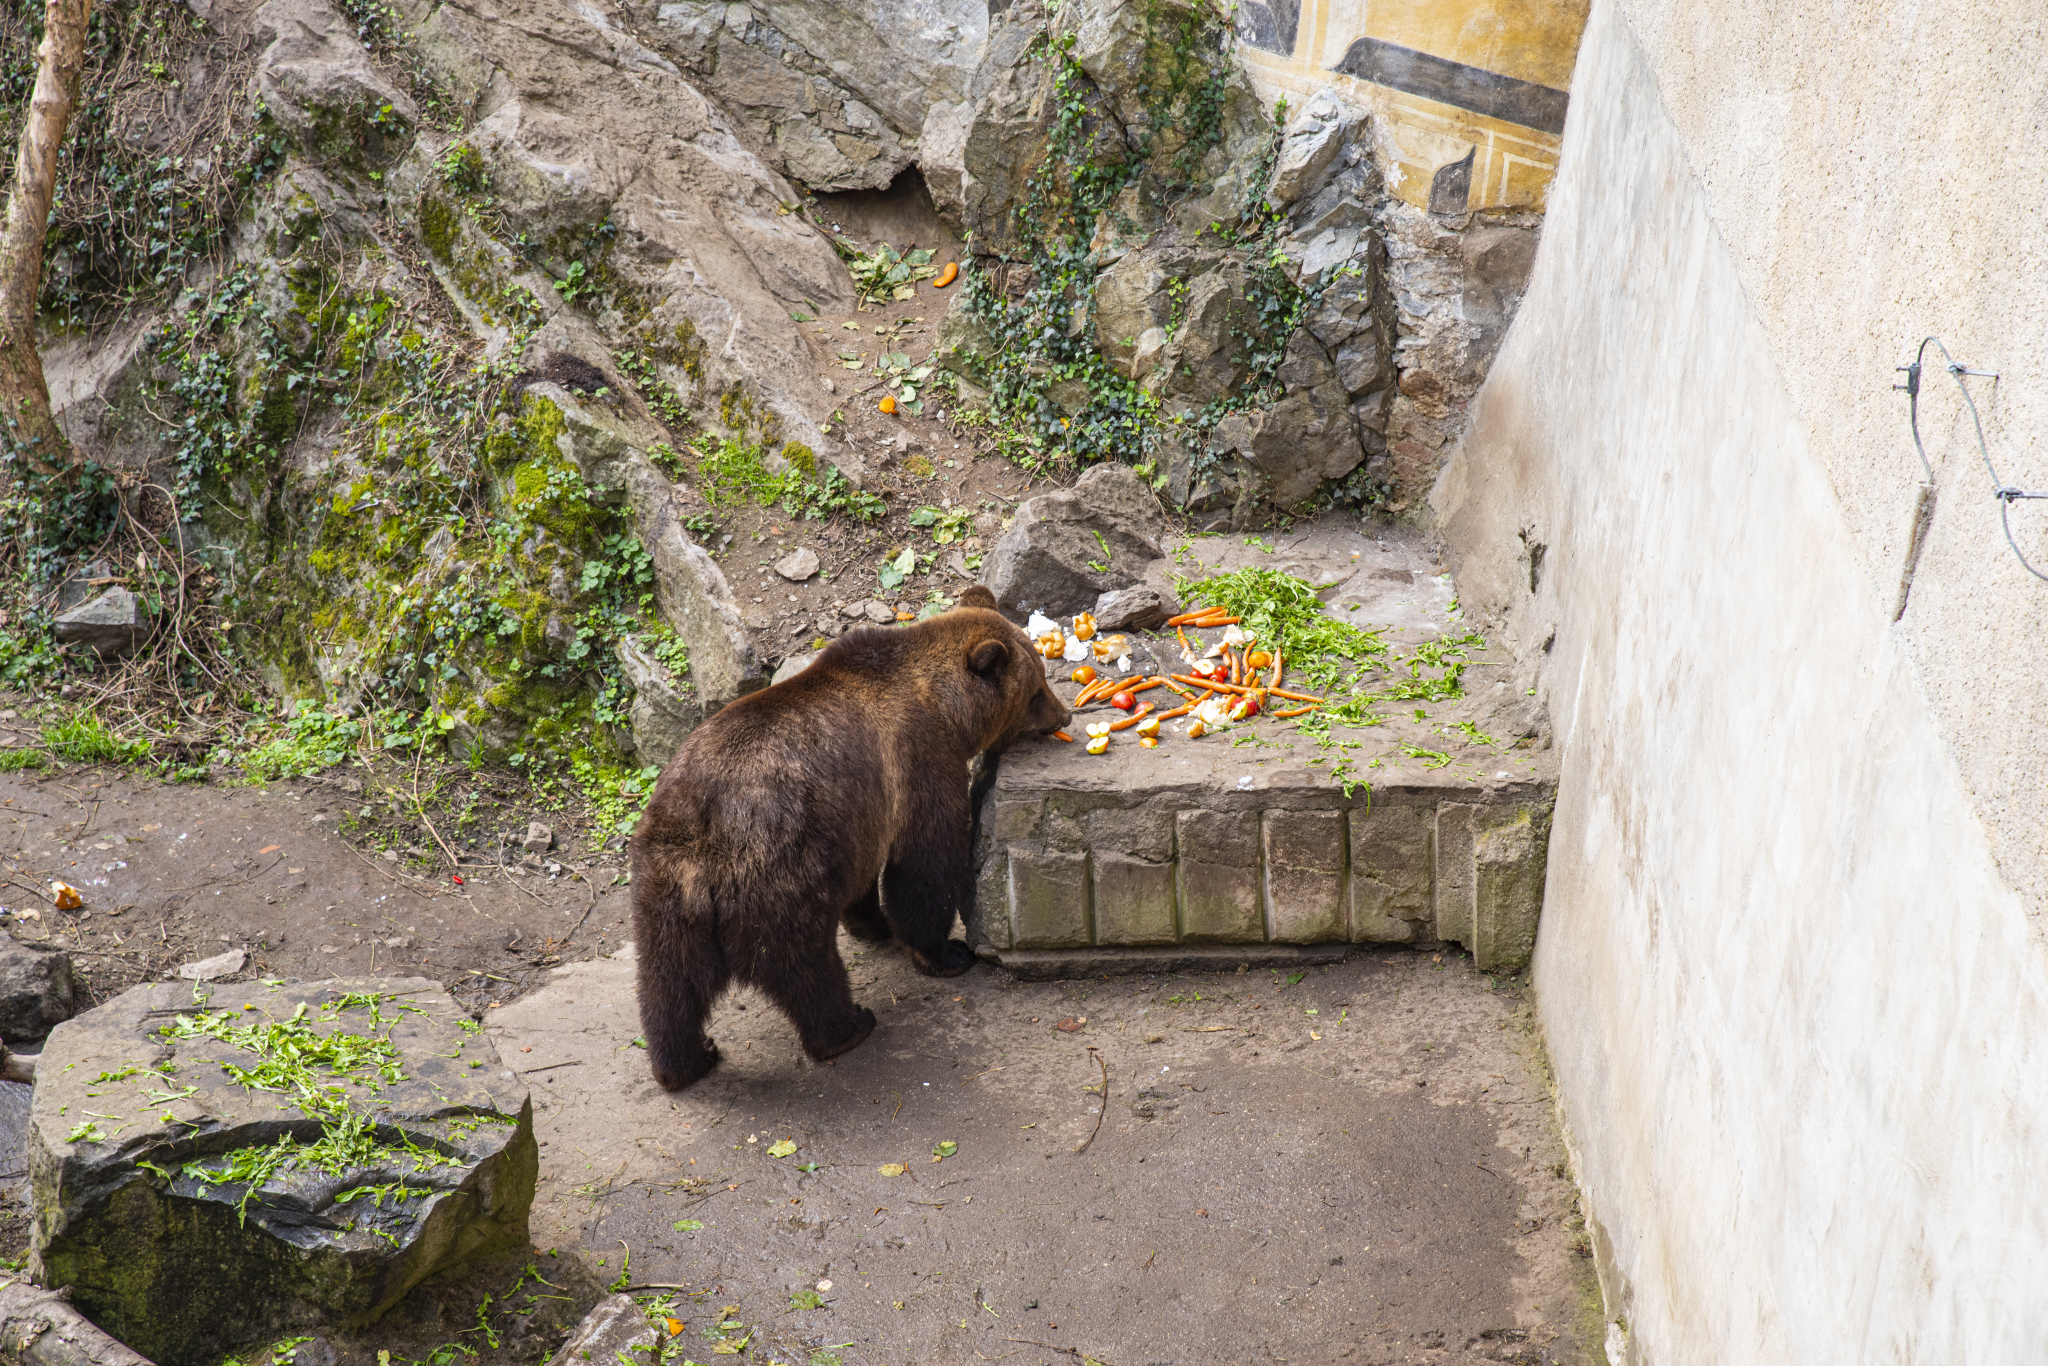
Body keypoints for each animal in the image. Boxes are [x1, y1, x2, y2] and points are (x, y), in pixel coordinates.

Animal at [622, 585, 1073, 1089]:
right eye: (1035, 690)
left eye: (1042, 678)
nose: (1065, 715)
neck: (945, 707)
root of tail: (705, 839)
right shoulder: (919, 761)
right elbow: (925, 865)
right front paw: (946, 953)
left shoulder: (856, 819)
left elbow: (867, 880)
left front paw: (872, 924)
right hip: (775, 870)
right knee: (803, 964)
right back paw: (847, 1027)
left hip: (664, 887)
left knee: (668, 982)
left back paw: (686, 1061)